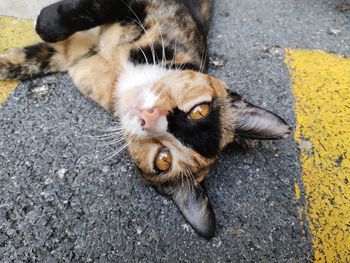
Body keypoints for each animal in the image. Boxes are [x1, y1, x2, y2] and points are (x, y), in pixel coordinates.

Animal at [0, 0, 292, 239]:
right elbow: (88, 10)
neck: (118, 74)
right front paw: (44, 22)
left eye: (163, 159)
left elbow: (36, 56)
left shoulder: (75, 57)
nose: (149, 117)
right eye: (200, 111)